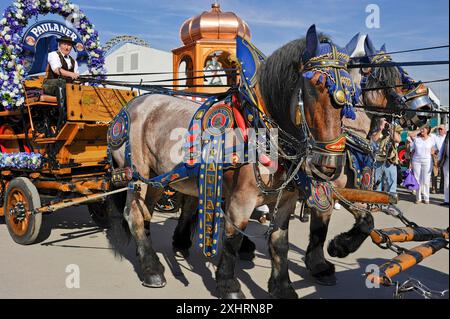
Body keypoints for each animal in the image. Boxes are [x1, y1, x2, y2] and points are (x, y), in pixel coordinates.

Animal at [108, 25, 358, 300]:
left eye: (350, 97)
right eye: (314, 87)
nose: (329, 163)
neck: (261, 129)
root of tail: (131, 105)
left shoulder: (286, 200)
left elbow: (279, 243)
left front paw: (282, 287)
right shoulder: (241, 199)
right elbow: (232, 238)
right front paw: (228, 284)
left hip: (156, 178)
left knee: (145, 212)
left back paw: (151, 254)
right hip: (136, 174)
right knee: (133, 214)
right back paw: (151, 268)